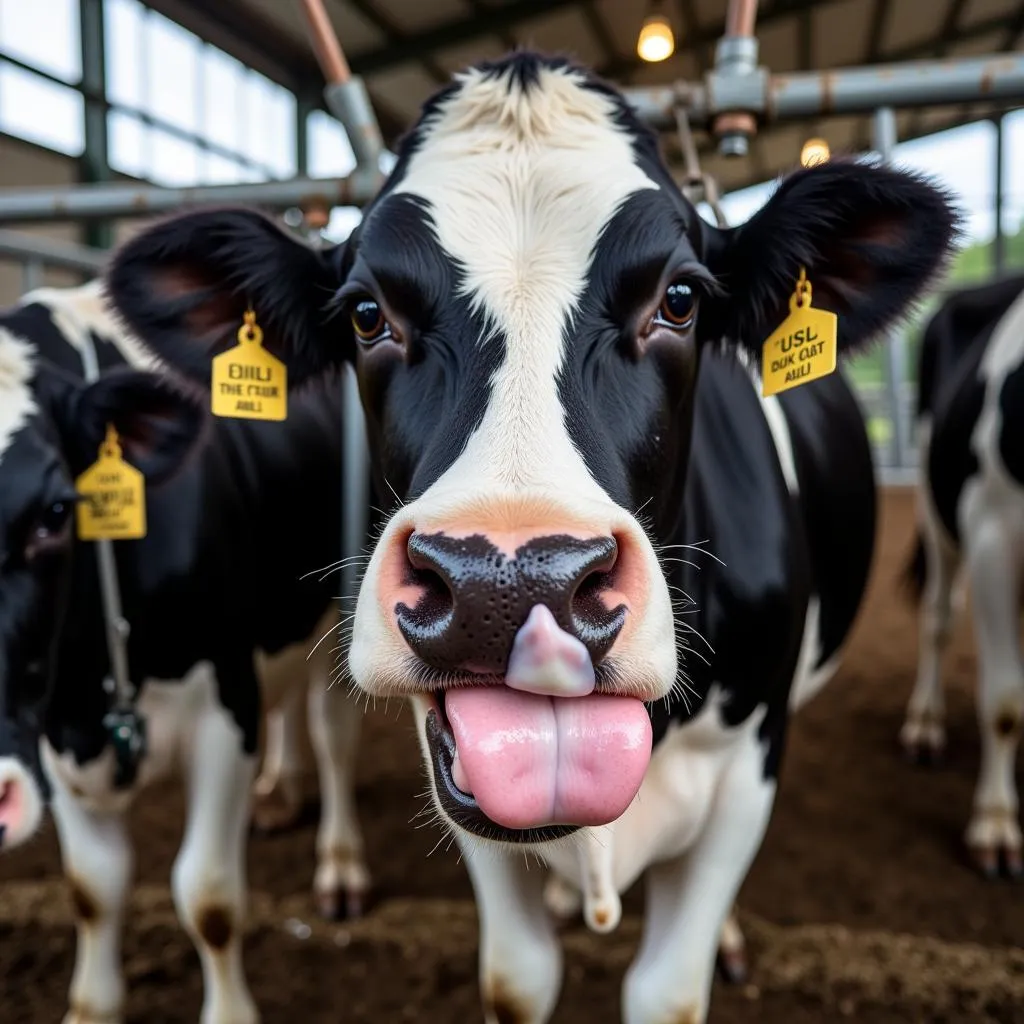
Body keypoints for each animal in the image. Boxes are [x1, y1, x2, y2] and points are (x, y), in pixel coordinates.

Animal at [0, 282, 372, 1024]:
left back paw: (341, 864)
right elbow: (92, 890)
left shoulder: (222, 712)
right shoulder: (47, 736)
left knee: (334, 735)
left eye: (55, 513)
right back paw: (279, 793)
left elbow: (207, 895)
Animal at [99, 54, 954, 1024]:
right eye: (366, 314)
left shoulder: (748, 769)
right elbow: (519, 977)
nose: (508, 584)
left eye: (680, 299)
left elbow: (669, 990)